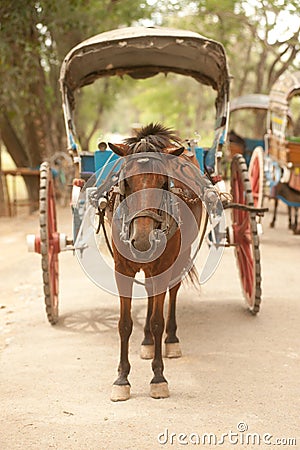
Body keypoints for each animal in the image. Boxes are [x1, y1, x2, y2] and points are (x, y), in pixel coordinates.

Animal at [106, 123, 204, 400]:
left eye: (163, 183)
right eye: (126, 181)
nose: (142, 240)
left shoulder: (163, 266)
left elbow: (157, 321)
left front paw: (158, 378)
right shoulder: (122, 270)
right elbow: (124, 324)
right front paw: (122, 379)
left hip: (180, 257)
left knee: (172, 293)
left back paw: (171, 340)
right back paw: (148, 341)